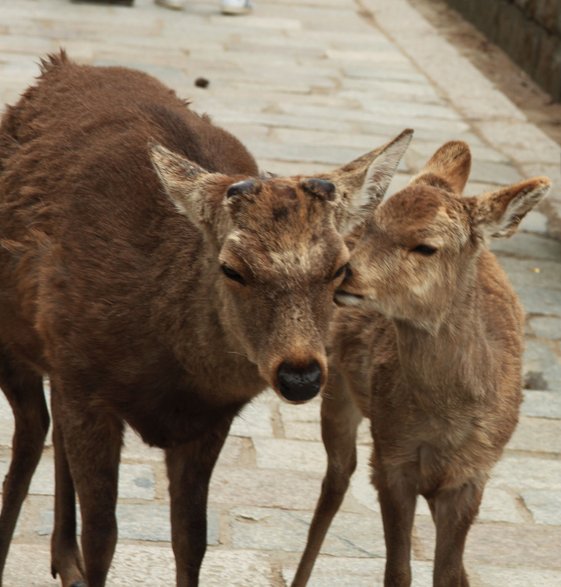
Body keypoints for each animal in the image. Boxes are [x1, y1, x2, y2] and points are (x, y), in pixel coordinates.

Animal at [0, 51, 412, 587]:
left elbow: (192, 540)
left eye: (340, 268)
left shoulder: (210, 419)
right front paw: (87, 554)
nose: (300, 375)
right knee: (32, 429)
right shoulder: (86, 383)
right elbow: (104, 538)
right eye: (232, 268)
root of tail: (59, 65)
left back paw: (62, 558)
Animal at [294, 141, 552, 587]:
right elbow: (398, 572)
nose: (346, 273)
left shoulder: (473, 474)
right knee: (336, 479)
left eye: (426, 246)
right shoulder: (392, 458)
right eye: (375, 226)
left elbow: (449, 574)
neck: (447, 418)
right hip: (338, 389)